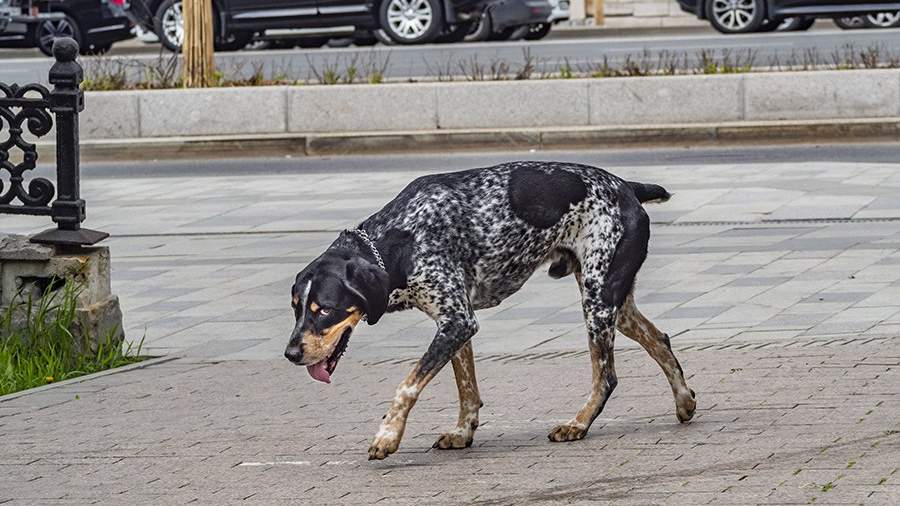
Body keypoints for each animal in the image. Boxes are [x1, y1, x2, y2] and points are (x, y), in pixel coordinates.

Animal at [284, 161, 700, 458]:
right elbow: (467, 388)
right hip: (613, 302)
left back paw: (578, 424)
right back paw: (683, 401)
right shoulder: (455, 324)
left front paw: (388, 434)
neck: (399, 239)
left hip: (597, 301)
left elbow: (407, 385)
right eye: (296, 308)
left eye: (324, 309)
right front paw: (463, 431)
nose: (290, 354)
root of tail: (627, 186)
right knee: (660, 340)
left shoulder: (456, 322)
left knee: (606, 377)